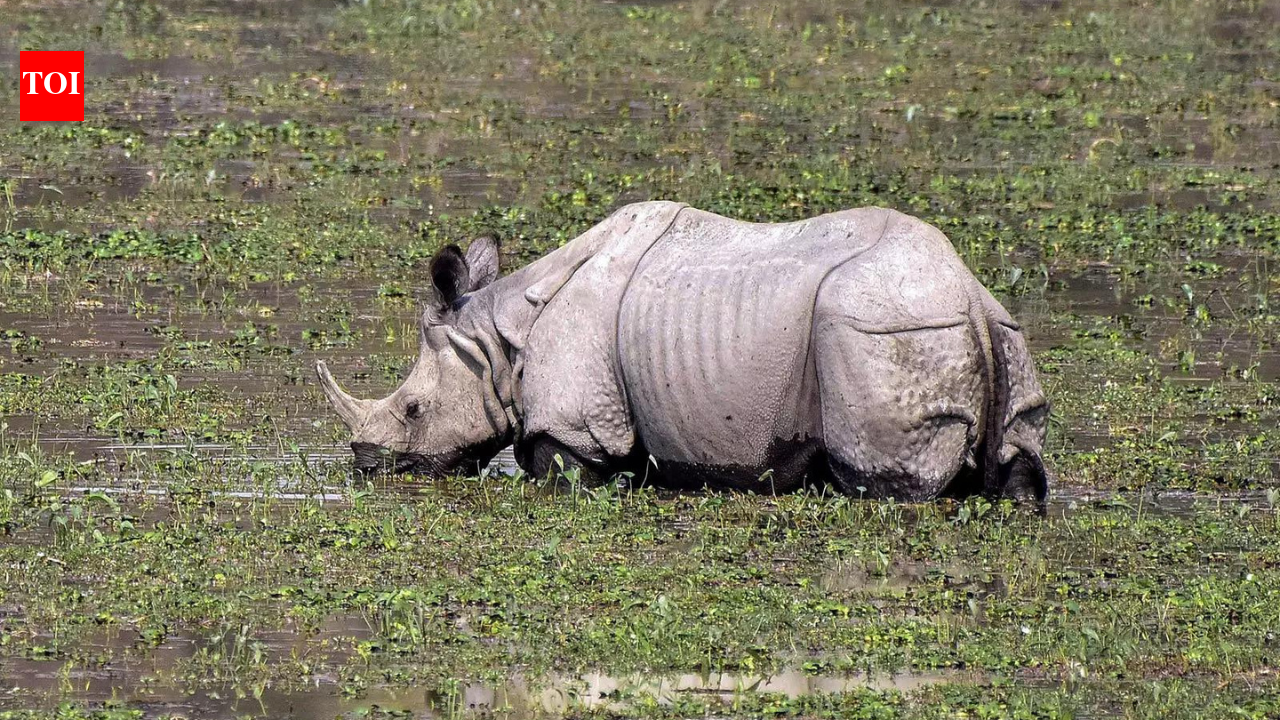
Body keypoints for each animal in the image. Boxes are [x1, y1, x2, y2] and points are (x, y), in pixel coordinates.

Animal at [317, 202, 1049, 501]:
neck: (497, 340)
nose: (364, 464)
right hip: (991, 331)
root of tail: (966, 293)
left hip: (878, 330)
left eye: (413, 410)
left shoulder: (576, 426)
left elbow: (557, 470)